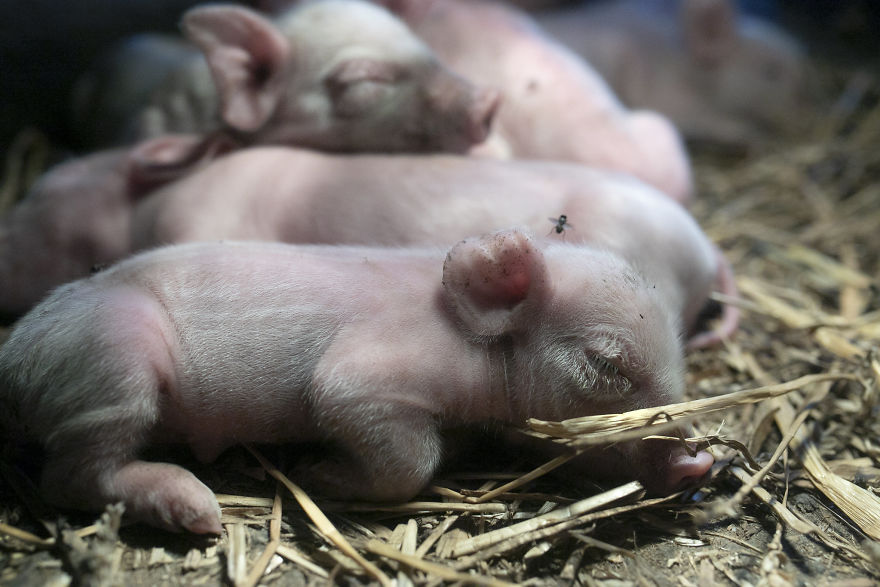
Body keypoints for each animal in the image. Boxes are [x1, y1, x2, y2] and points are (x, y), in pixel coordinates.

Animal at [0, 231, 714, 533]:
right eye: (607, 365)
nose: (699, 461)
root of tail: (13, 358)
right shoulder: (364, 376)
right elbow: (404, 452)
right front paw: (318, 473)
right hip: (115, 363)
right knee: (70, 476)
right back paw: (198, 510)